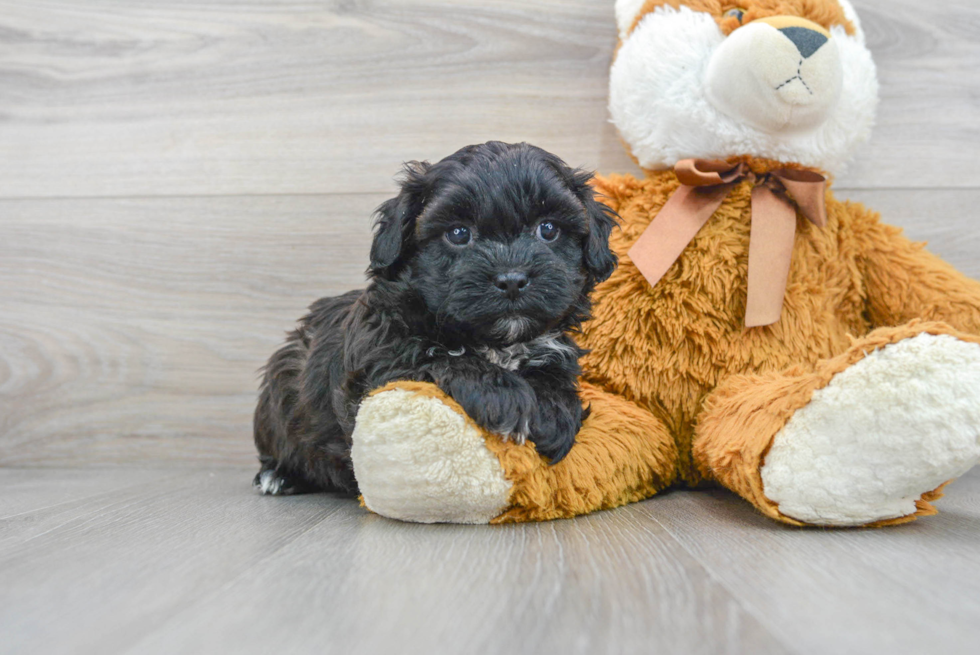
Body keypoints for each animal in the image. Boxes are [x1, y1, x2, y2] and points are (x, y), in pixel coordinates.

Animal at [256, 140, 616, 498]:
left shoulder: (553, 347)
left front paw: (554, 413)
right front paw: (502, 394)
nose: (512, 279)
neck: (492, 341)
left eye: (548, 229)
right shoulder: (378, 360)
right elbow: (436, 357)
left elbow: (554, 373)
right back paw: (278, 475)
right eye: (458, 233)